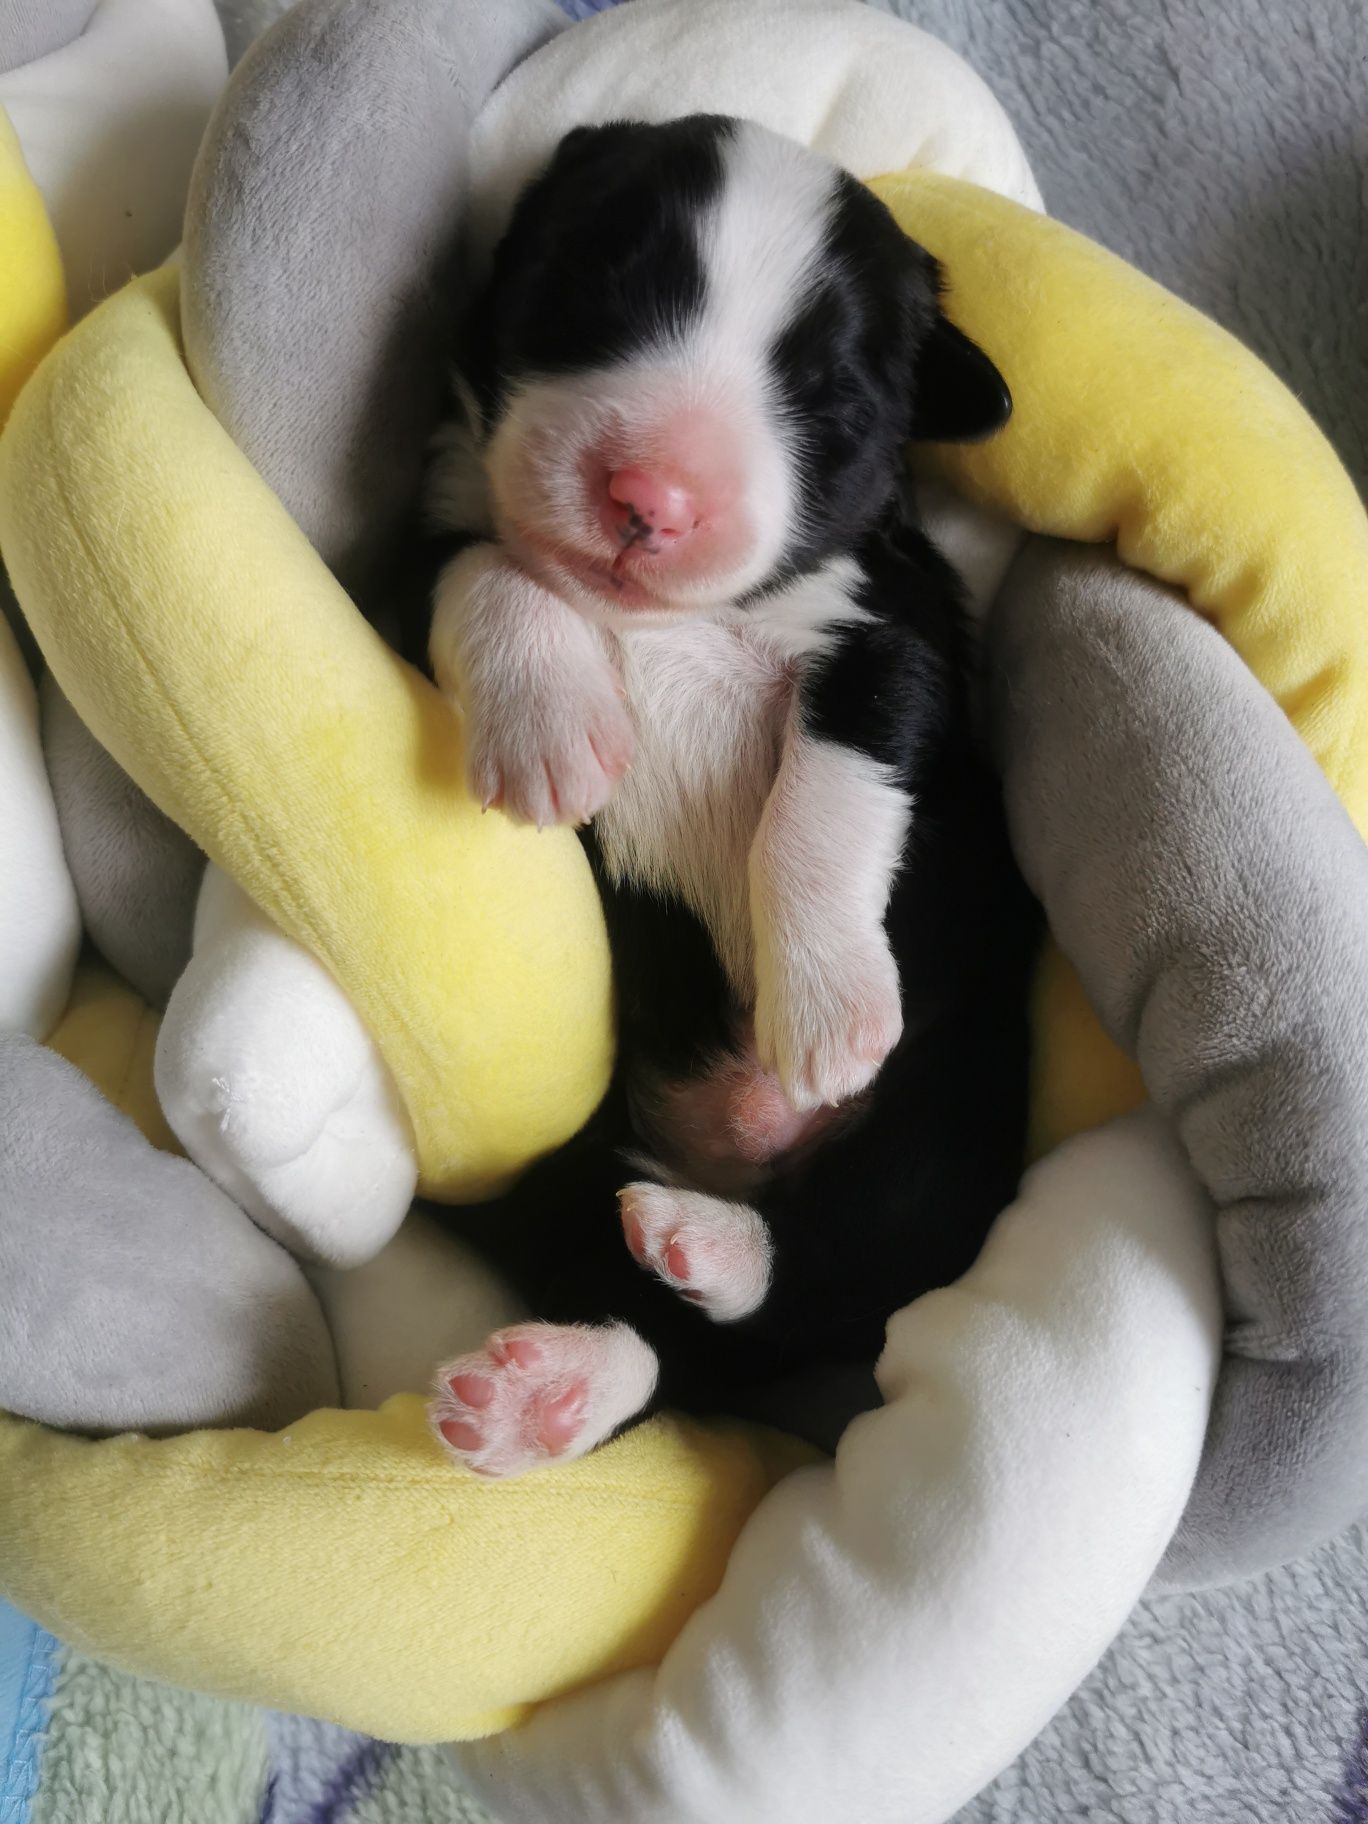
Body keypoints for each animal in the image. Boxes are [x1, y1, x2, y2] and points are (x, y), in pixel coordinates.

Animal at [423, 114, 1036, 1473]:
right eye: (592, 294)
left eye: (828, 401)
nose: (649, 496)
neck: (670, 621)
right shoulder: (425, 538)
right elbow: (491, 567)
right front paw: (550, 730)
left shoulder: (893, 640)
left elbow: (827, 797)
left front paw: (829, 1013)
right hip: (569, 1160)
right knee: (656, 1326)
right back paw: (549, 1391)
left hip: (955, 1116)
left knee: (844, 1275)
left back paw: (718, 1246)